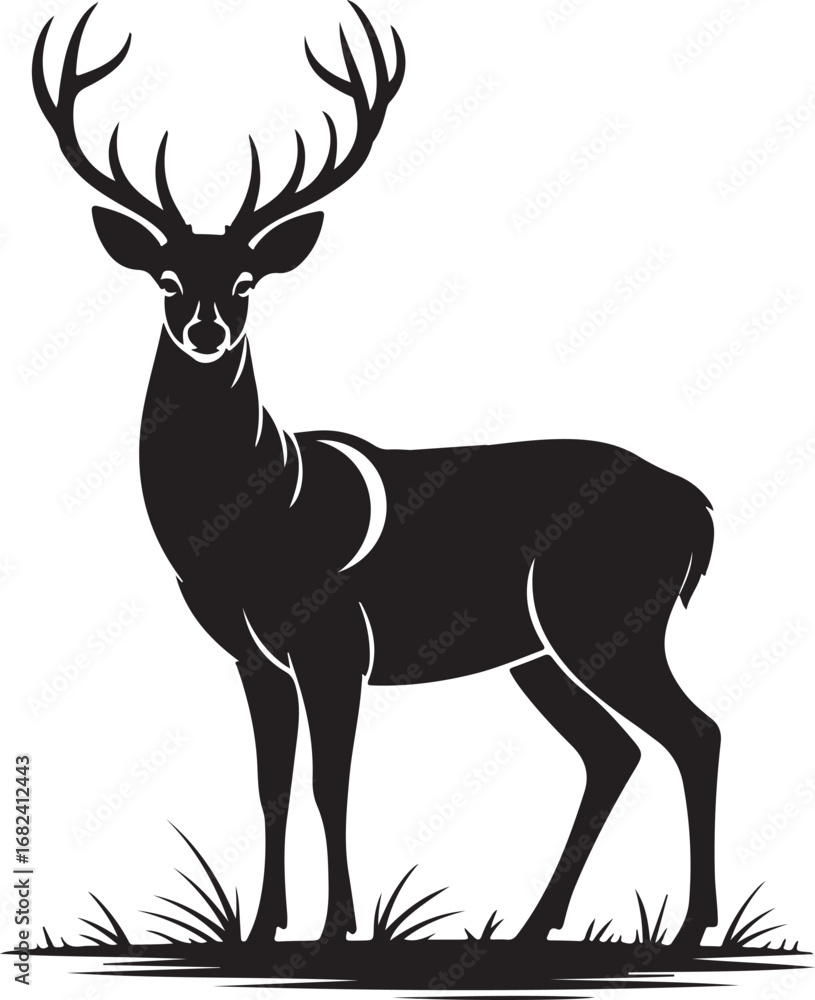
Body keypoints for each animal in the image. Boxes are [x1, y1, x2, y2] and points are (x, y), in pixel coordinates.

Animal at [34, 1, 719, 951]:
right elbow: (271, 786)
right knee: (611, 751)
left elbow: (332, 784)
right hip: (540, 649)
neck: (249, 521)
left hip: (608, 616)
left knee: (694, 732)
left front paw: (336, 929)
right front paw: (261, 931)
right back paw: (534, 927)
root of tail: (696, 507)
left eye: (246, 280)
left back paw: (690, 929)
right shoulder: (253, 657)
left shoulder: (334, 643)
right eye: (167, 278)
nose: (207, 330)